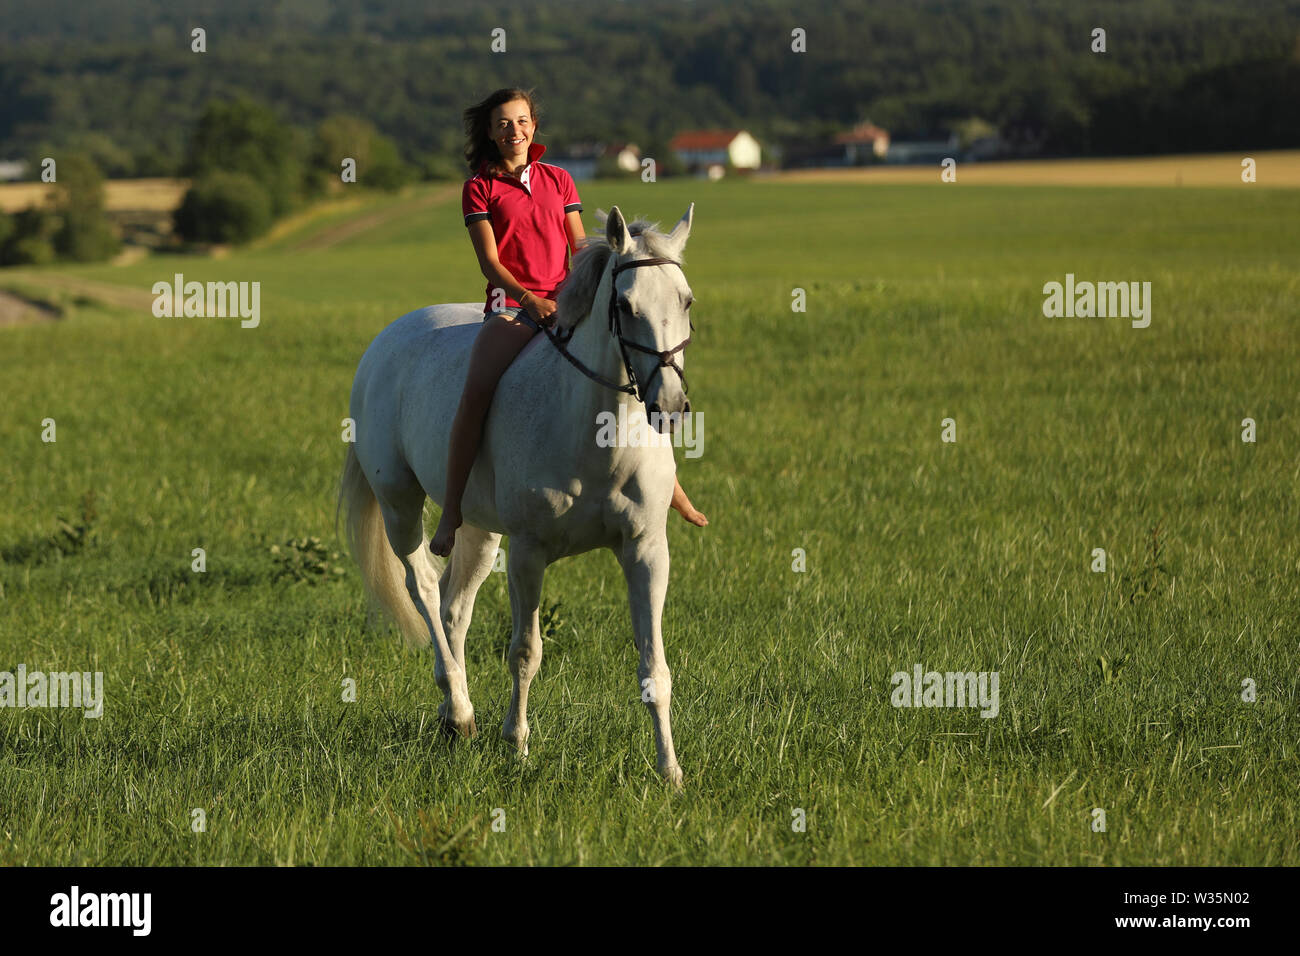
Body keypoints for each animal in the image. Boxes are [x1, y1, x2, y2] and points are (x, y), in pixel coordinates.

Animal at [338, 204, 696, 786]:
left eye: (686, 301)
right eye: (625, 305)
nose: (669, 405)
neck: (598, 436)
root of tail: (386, 339)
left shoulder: (646, 549)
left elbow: (654, 667)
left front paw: (670, 771)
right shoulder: (529, 552)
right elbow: (526, 652)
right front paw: (517, 745)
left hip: (478, 529)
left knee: (453, 606)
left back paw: (452, 715)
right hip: (399, 506)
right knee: (423, 589)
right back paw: (461, 710)